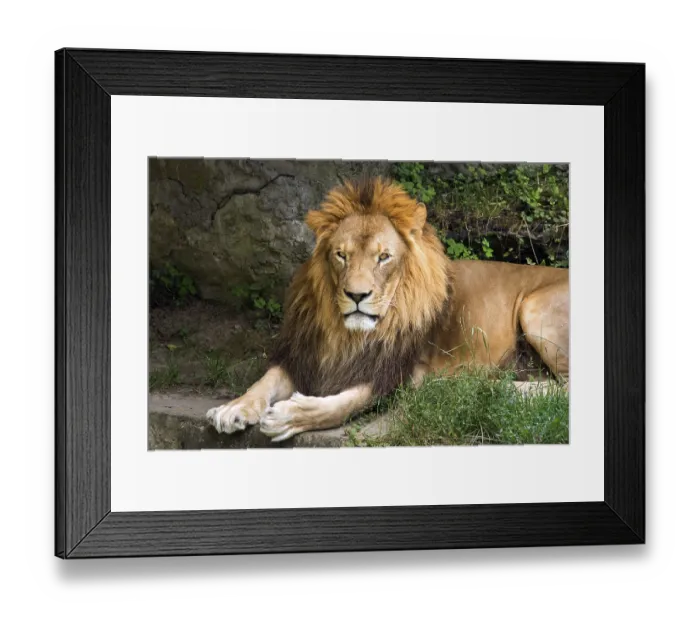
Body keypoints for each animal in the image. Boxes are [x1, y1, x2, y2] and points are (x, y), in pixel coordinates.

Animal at [207, 177, 569, 442]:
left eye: (383, 257)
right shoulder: (307, 355)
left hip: (535, 308)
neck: (347, 335)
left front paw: (286, 416)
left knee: (562, 390)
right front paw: (233, 408)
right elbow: (264, 381)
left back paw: (490, 386)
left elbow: (341, 405)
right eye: (341, 255)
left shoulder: (396, 372)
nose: (356, 295)